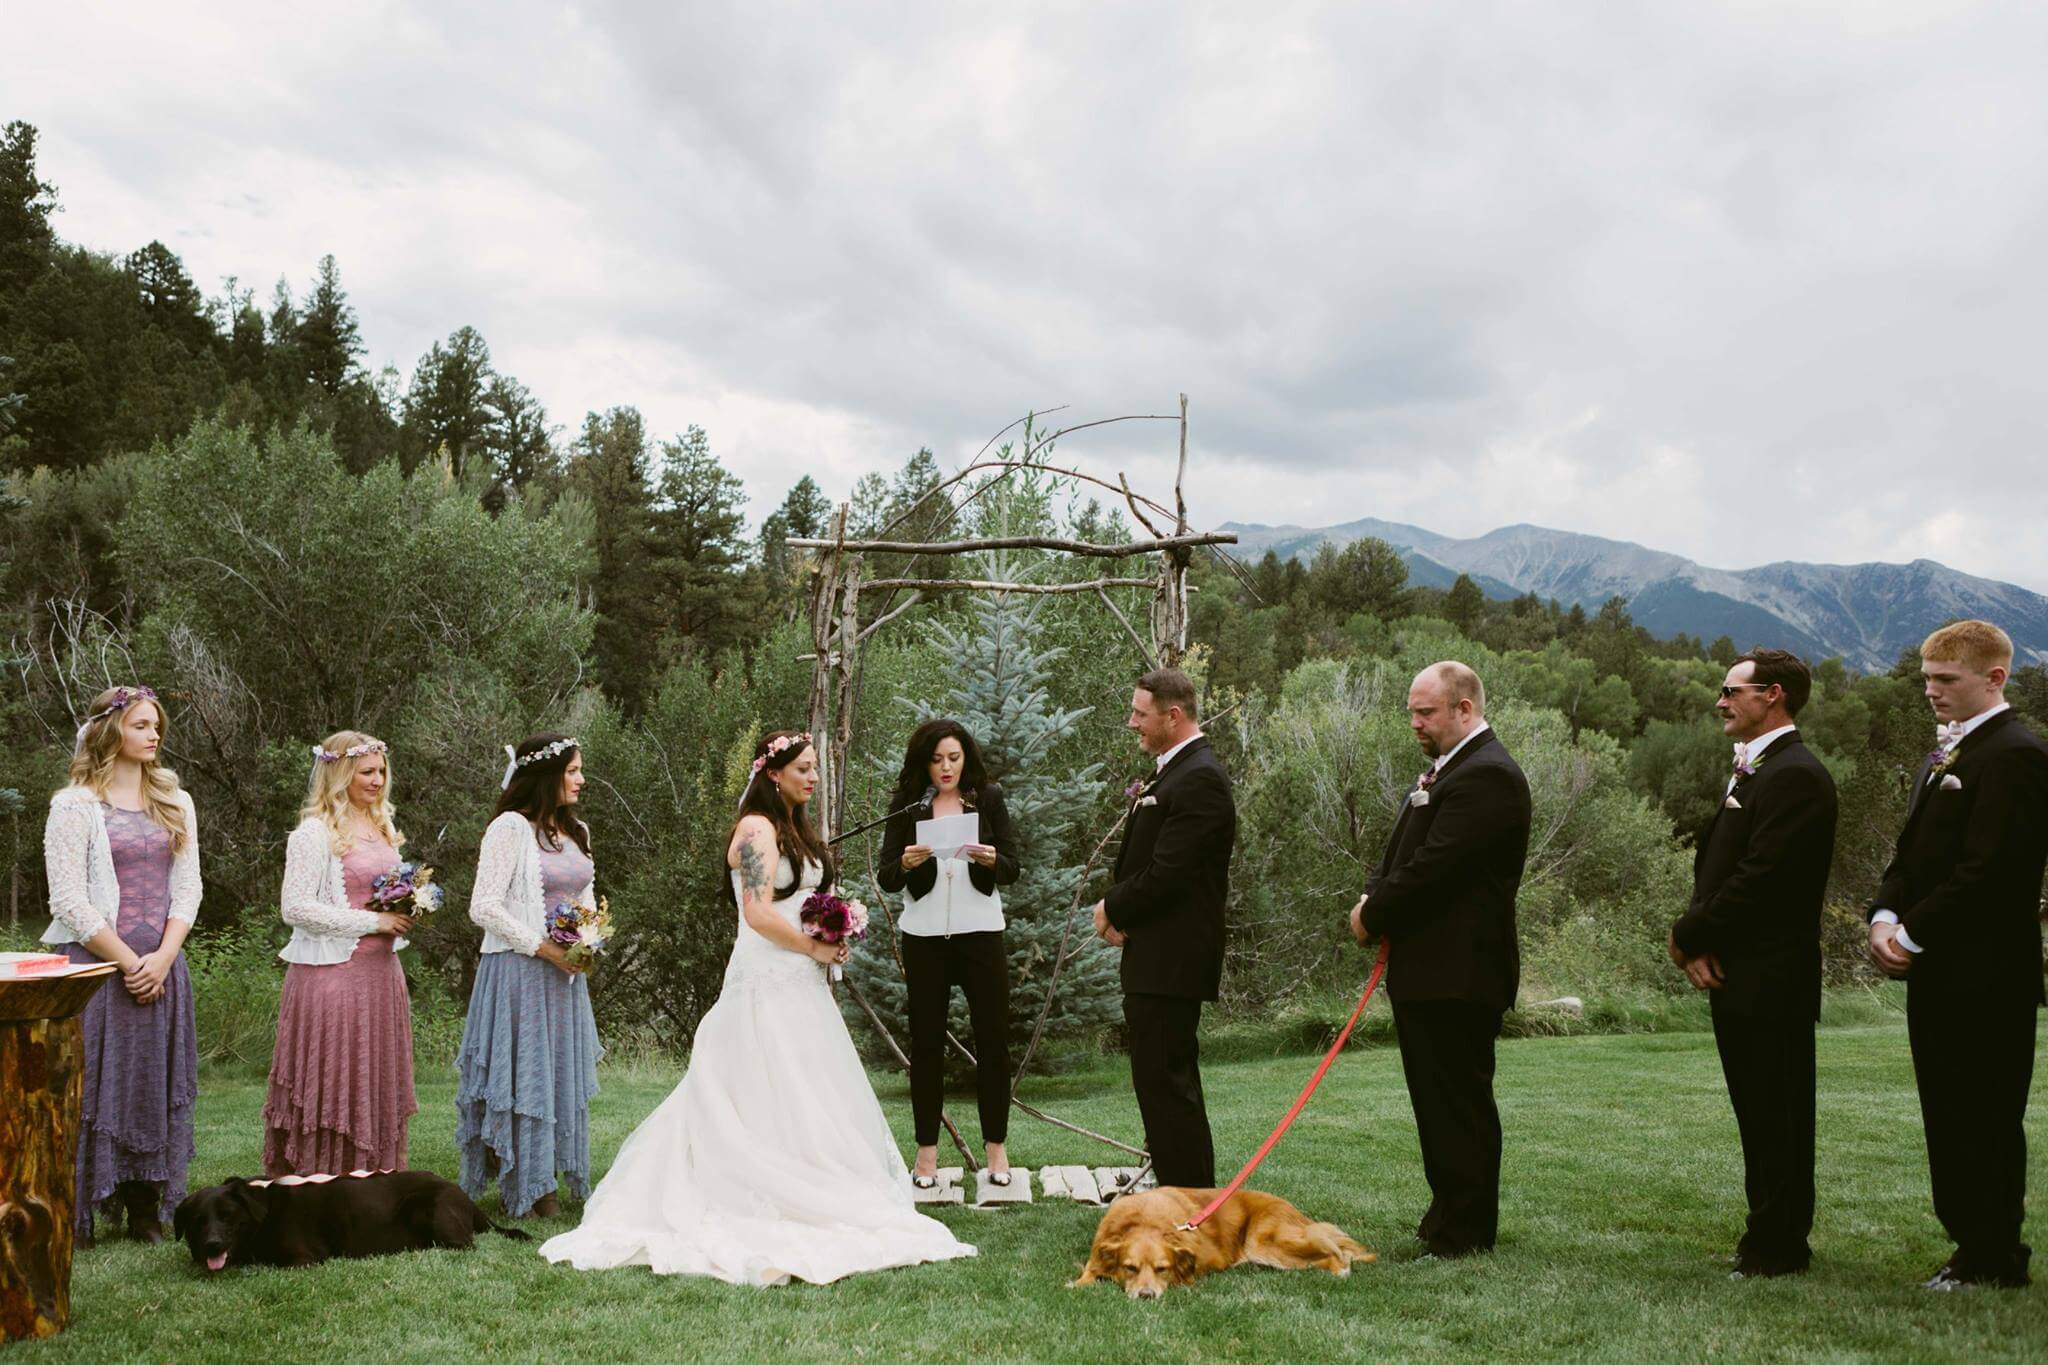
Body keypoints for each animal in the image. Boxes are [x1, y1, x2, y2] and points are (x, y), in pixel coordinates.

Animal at [175, 1170, 528, 1277]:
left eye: (227, 1217)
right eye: (197, 1222)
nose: (212, 1245)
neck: (264, 1213)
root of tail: (466, 1198)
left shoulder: (304, 1258)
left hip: (430, 1208)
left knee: (463, 1245)